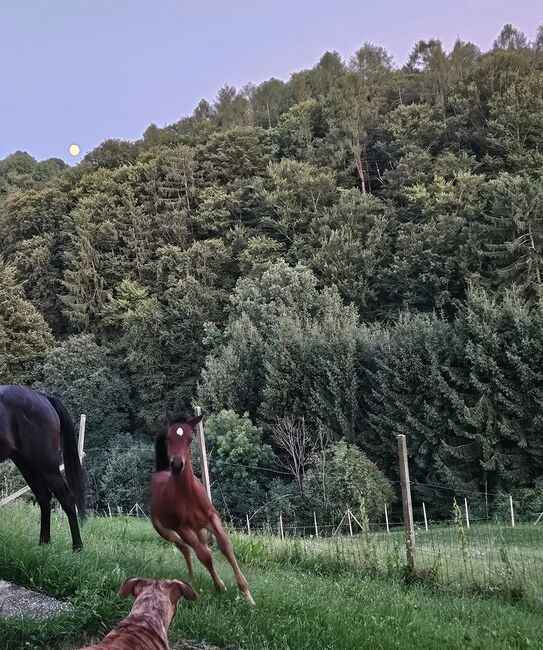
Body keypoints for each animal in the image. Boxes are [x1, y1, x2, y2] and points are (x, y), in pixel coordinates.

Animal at [0, 385, 86, 550]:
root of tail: (43, 397)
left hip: (46, 466)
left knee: (66, 498)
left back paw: (77, 547)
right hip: (28, 467)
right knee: (44, 497)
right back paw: (44, 543)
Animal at [151, 411, 255, 605]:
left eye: (190, 439)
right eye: (168, 438)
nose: (177, 465)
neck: (188, 495)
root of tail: (159, 474)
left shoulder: (211, 518)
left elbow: (225, 546)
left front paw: (247, 595)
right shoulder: (182, 528)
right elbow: (205, 555)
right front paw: (220, 586)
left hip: (201, 531)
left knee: (195, 547)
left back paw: (192, 577)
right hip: (164, 530)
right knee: (185, 547)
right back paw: (191, 578)